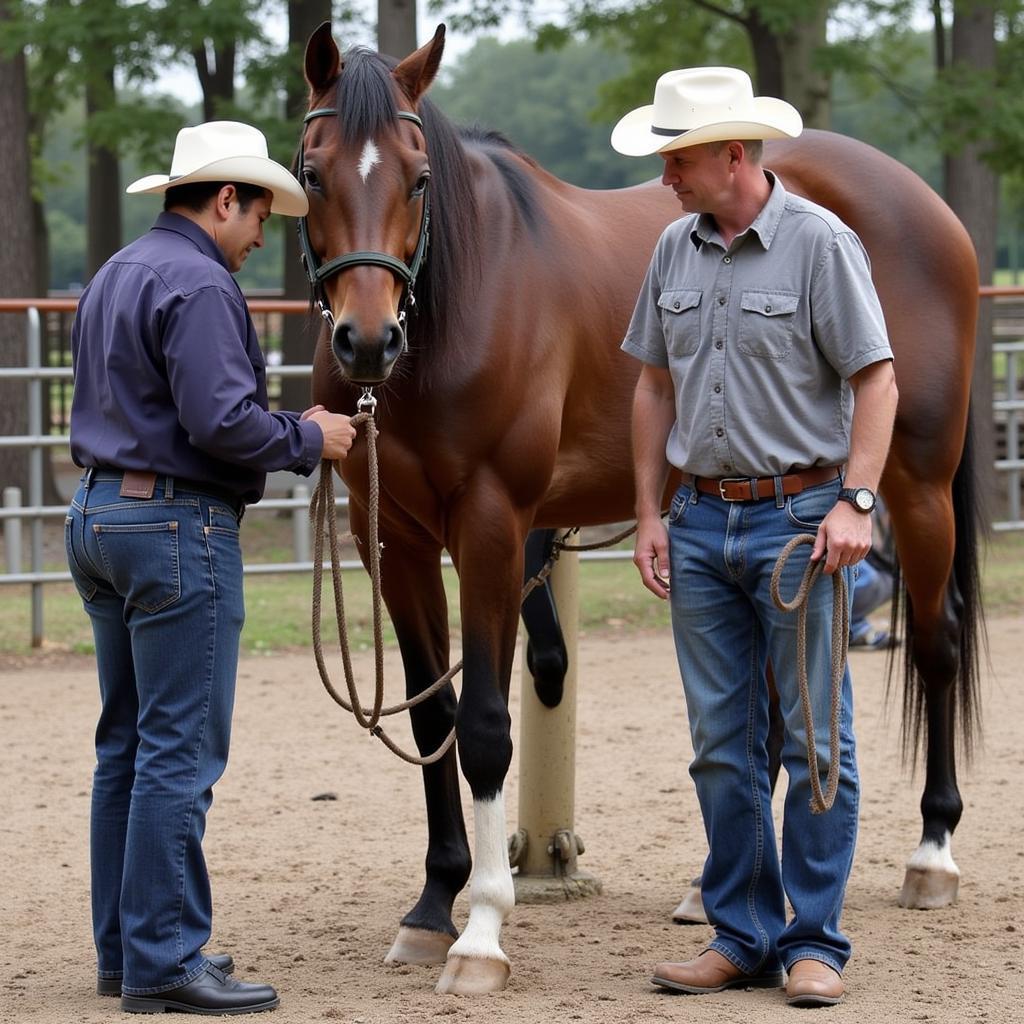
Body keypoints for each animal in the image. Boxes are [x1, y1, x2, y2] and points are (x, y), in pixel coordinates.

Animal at [299, 24, 983, 995]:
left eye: (419, 177)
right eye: (312, 172)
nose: (367, 340)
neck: (457, 306)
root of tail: (927, 206)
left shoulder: (492, 528)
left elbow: (484, 728)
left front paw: (482, 931)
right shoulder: (389, 539)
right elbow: (434, 719)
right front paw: (432, 908)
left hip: (916, 486)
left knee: (937, 643)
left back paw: (932, 854)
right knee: (777, 707)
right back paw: (714, 893)